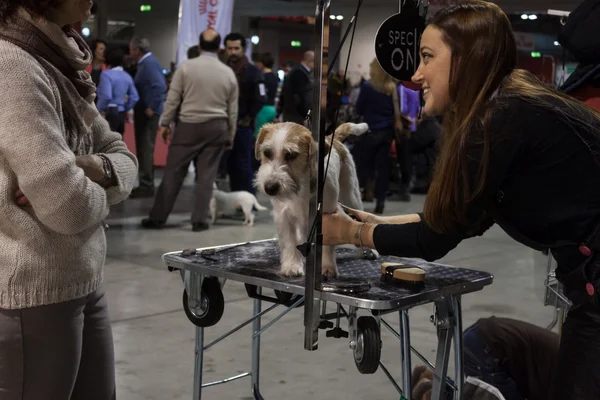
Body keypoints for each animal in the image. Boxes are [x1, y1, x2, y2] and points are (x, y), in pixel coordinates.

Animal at [253, 122, 376, 278]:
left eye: (291, 155)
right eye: (267, 153)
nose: (269, 188)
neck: (302, 186)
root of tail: (332, 139)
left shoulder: (327, 216)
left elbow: (327, 244)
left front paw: (327, 266)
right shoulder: (284, 217)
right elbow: (289, 242)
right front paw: (292, 265)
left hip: (351, 196)